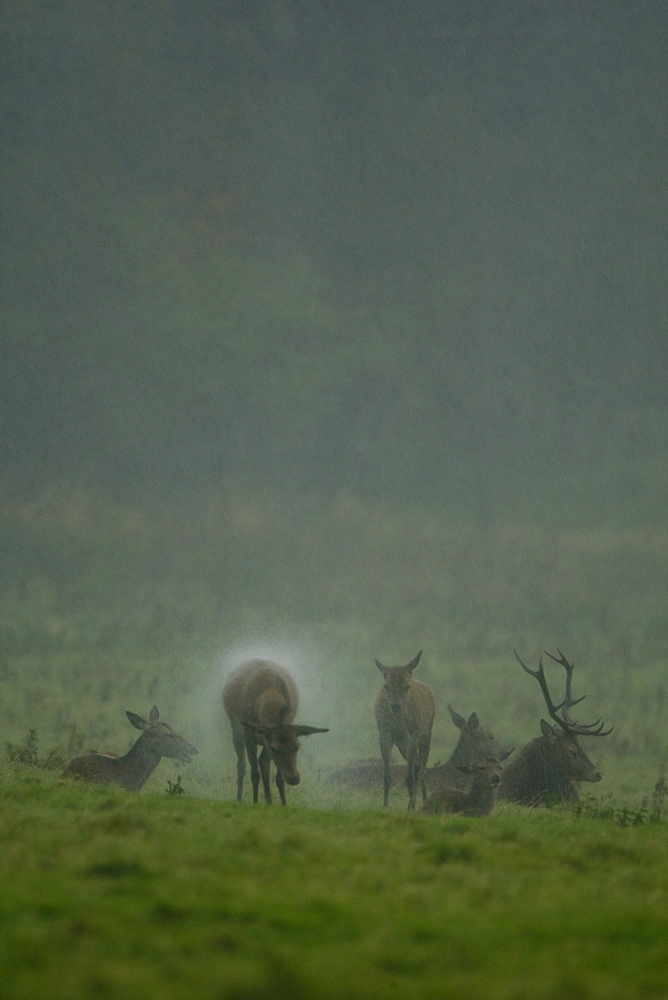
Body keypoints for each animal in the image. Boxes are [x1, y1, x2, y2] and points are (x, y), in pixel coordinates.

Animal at [223, 660, 330, 808]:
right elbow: (254, 773)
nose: (294, 778)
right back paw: (240, 798)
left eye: (297, 746)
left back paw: (269, 801)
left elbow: (278, 776)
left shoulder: (269, 737)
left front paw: (283, 804)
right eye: (274, 748)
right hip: (236, 730)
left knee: (263, 762)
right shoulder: (250, 734)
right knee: (242, 764)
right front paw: (255, 802)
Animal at [374, 648, 436, 812]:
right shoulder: (384, 733)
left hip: (426, 732)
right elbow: (387, 774)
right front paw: (385, 806)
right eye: (386, 686)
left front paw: (410, 808)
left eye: (406, 686)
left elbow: (409, 776)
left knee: (421, 768)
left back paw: (421, 802)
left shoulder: (413, 733)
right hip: (401, 743)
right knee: (419, 767)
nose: (395, 706)